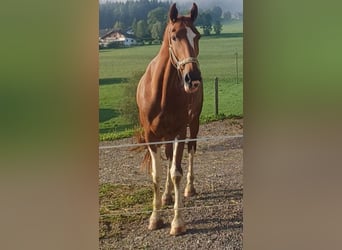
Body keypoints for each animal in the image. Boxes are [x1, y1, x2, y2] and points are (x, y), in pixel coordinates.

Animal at [135, 2, 202, 235]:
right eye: (174, 36)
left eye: (197, 36)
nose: (193, 78)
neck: (161, 91)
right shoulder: (151, 136)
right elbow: (157, 174)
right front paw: (155, 218)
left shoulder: (180, 131)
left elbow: (176, 172)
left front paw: (177, 222)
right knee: (169, 155)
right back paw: (166, 195)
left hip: (194, 124)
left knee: (191, 151)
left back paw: (189, 188)